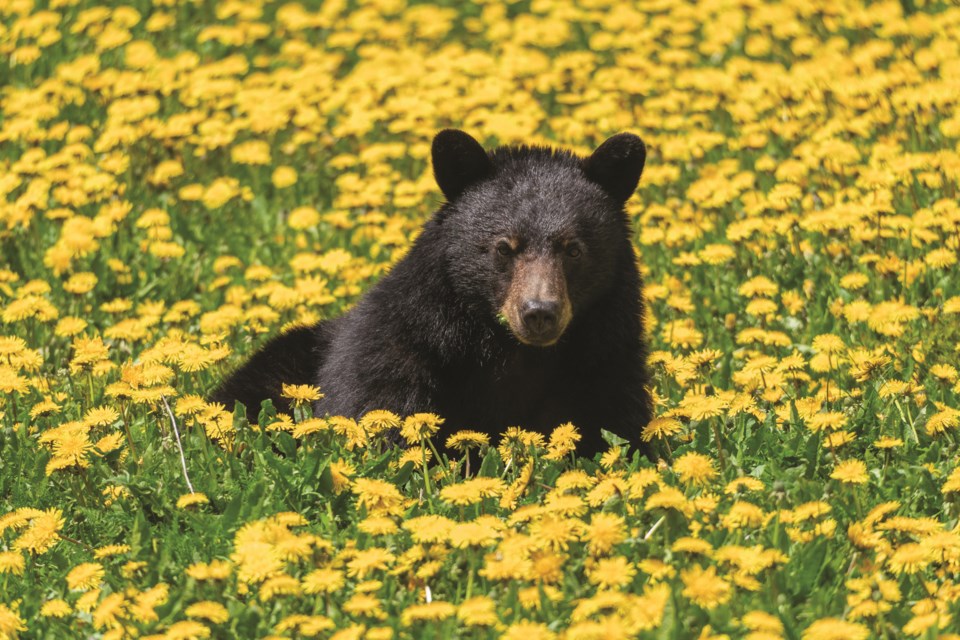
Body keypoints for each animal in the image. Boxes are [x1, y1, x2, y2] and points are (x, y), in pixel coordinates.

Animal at [214, 130, 656, 458]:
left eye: (573, 249)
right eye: (503, 248)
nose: (538, 312)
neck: (513, 354)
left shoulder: (604, 362)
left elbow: (619, 428)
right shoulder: (402, 352)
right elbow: (377, 413)